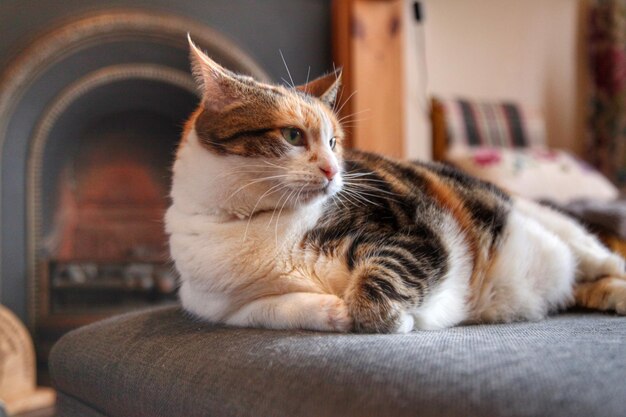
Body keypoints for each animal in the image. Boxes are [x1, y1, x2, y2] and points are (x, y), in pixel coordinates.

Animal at [165, 37, 624, 334]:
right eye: (293, 135)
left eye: (333, 142)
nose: (334, 170)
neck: (253, 225)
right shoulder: (221, 308)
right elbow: (275, 310)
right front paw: (332, 312)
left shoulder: (415, 229)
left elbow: (383, 277)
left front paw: (384, 317)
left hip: (569, 236)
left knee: (605, 262)